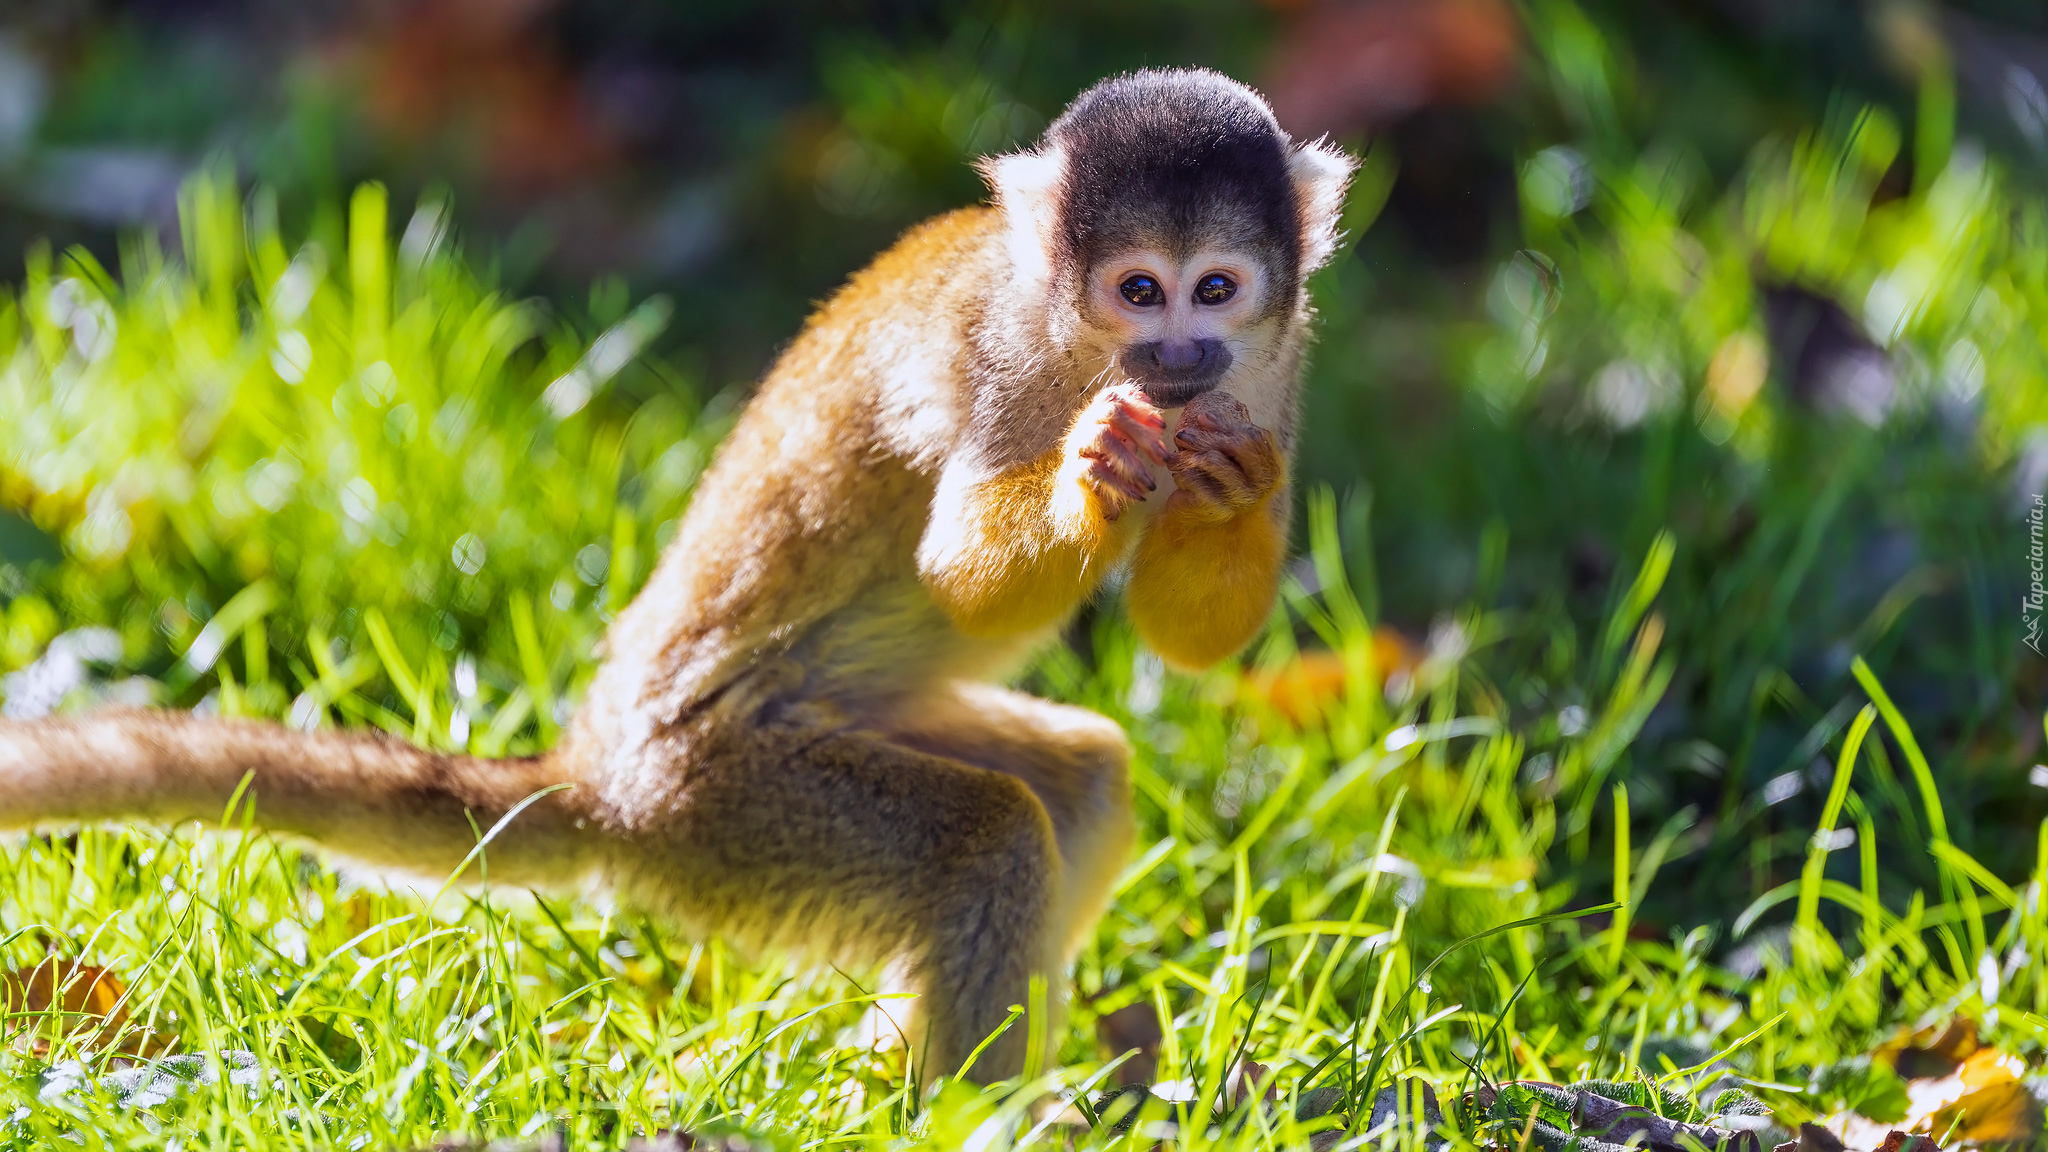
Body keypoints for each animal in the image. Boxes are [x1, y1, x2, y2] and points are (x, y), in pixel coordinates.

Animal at [0, 67, 1351, 1082]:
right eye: (1136, 290)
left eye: (1214, 288)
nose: (1178, 353)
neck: (1086, 351)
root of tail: (602, 770)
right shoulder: (1000, 357)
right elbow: (965, 571)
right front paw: (1093, 469)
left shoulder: (1279, 365)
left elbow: (1192, 638)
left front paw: (1233, 490)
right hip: (728, 808)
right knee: (989, 835)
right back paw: (965, 1108)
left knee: (1077, 780)